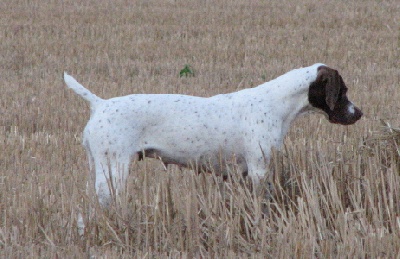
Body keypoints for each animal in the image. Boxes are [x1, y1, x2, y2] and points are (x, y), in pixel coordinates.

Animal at [63, 63, 362, 211]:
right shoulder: (258, 170)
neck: (276, 104)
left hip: (99, 165)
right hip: (113, 168)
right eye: (343, 90)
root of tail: (100, 104)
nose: (359, 113)